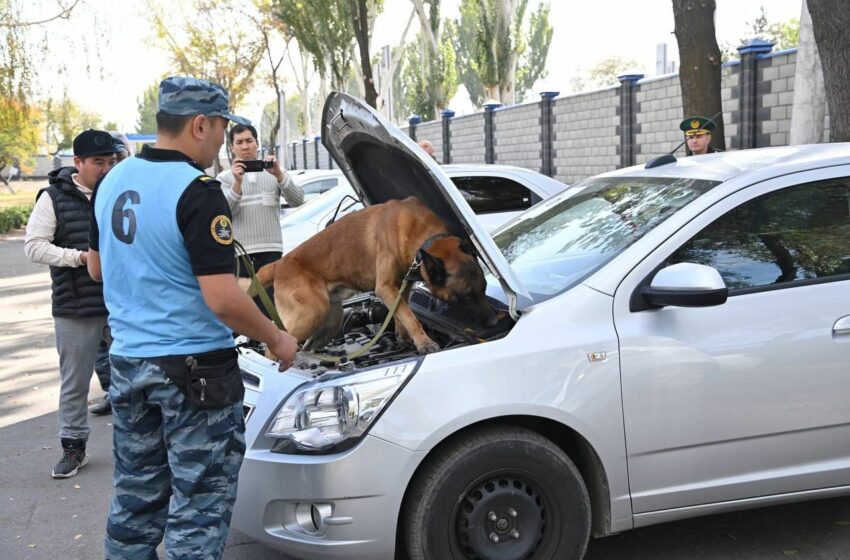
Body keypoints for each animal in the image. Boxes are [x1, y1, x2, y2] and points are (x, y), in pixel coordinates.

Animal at [245, 196, 494, 354]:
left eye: (484, 288)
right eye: (465, 296)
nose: (494, 321)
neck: (423, 238)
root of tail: (279, 264)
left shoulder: (401, 287)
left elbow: (402, 313)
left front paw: (403, 338)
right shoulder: (385, 288)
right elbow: (410, 316)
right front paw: (424, 342)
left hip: (331, 319)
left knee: (307, 345)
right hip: (311, 314)